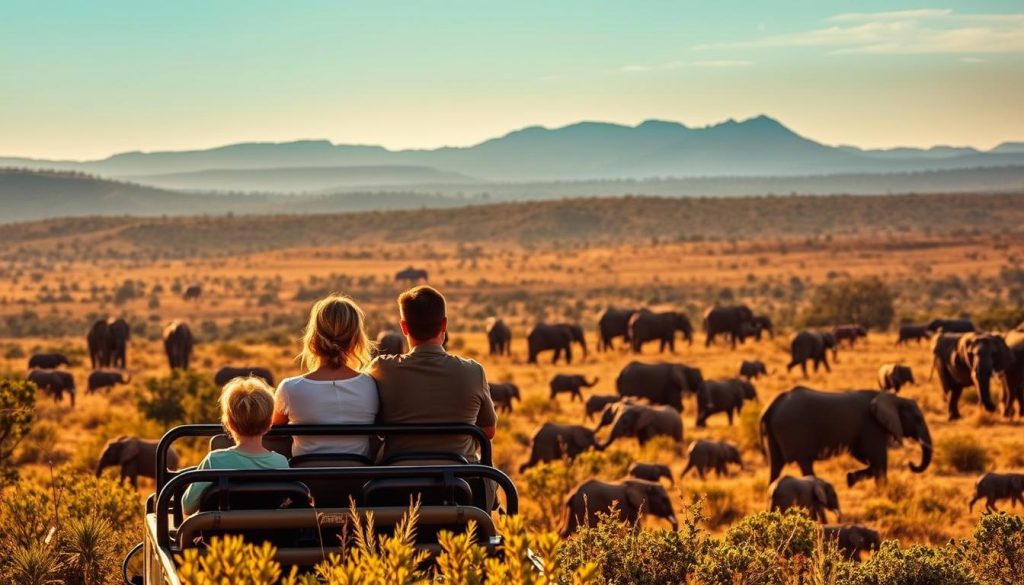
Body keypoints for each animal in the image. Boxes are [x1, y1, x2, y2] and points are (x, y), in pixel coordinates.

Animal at [761, 387, 932, 487]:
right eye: (918, 418)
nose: (911, 463)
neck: (894, 398)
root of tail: (772, 405)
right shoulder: (871, 426)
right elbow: (879, 460)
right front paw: (883, 492)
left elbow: (868, 459)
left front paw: (850, 479)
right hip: (794, 430)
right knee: (804, 463)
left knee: (776, 465)